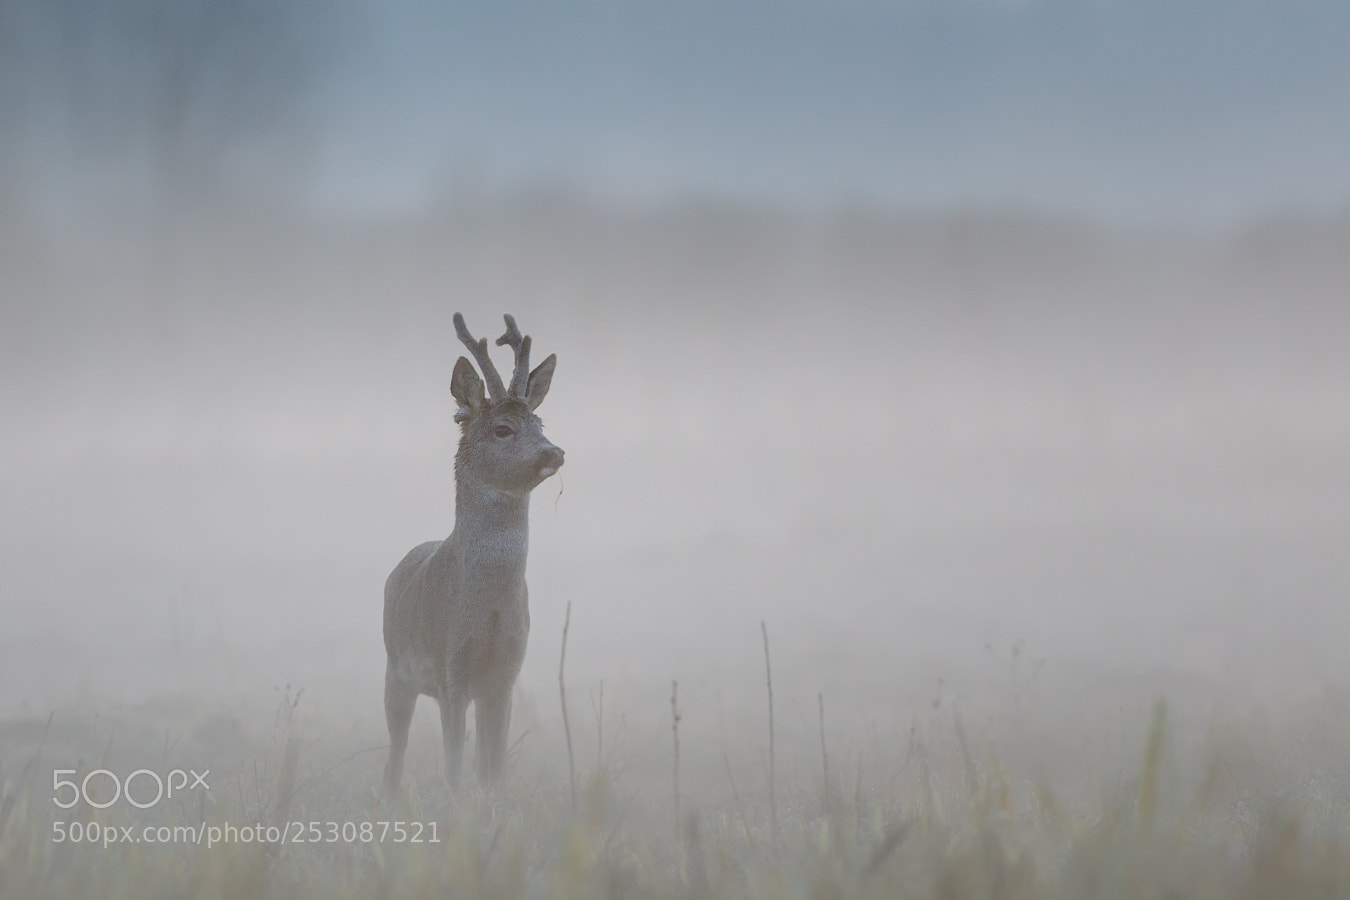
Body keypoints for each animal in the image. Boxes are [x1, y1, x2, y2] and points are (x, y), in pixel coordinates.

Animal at [382, 312, 563, 794]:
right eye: (503, 428)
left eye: (541, 423)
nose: (555, 451)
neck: (490, 610)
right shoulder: (451, 669)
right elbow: (454, 766)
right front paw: (456, 804)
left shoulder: (506, 673)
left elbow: (493, 768)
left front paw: (492, 805)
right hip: (394, 668)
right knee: (396, 747)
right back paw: (390, 795)